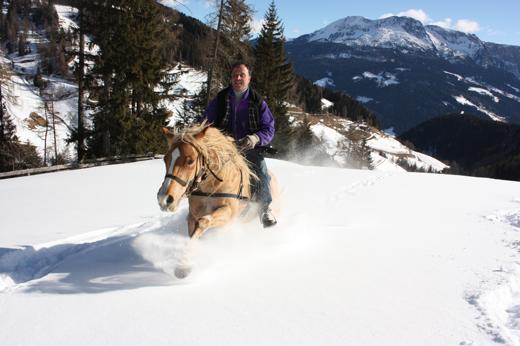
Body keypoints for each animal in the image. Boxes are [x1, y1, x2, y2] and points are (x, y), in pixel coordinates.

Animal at [156, 123, 278, 278]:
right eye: (166, 159)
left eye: (190, 161)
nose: (164, 199)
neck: (212, 186)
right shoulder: (193, 215)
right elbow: (193, 234)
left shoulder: (228, 213)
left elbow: (203, 222)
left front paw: (183, 266)